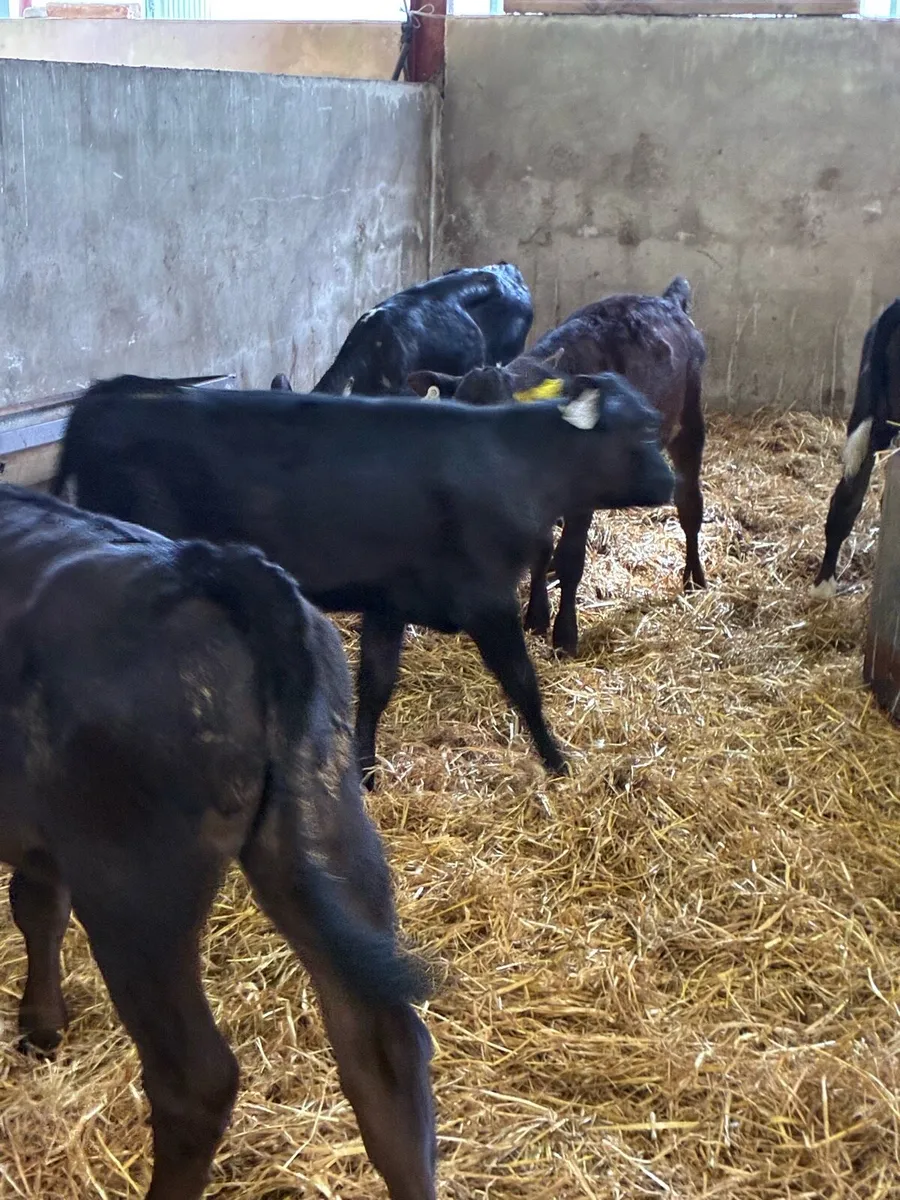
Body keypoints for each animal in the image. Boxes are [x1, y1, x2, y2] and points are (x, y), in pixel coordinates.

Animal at [0, 484, 436, 1200]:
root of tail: (216, 568)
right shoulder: (42, 836)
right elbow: (36, 906)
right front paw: (41, 1027)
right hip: (329, 831)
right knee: (386, 1050)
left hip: (134, 888)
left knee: (196, 1080)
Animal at [52, 373, 674, 789]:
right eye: (644, 428)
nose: (670, 481)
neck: (518, 462)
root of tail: (110, 394)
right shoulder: (488, 600)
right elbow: (523, 683)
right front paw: (556, 760)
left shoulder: (389, 601)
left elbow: (375, 685)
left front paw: (365, 769)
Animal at [408, 277, 707, 657]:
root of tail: (666, 301)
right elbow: (540, 548)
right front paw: (536, 617)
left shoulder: (579, 500)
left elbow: (571, 558)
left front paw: (565, 635)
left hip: (689, 421)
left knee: (689, 503)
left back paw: (694, 577)